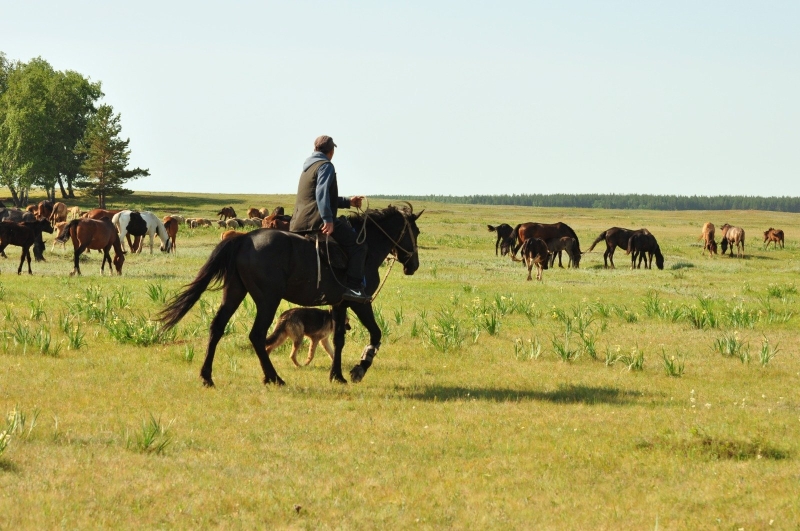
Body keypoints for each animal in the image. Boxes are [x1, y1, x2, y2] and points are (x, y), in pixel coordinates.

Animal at [158, 204, 424, 386]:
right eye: (416, 232)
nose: (414, 266)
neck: (366, 249)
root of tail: (244, 240)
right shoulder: (359, 301)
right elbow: (376, 333)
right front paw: (360, 367)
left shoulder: (339, 304)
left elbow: (338, 339)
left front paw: (337, 375)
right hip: (268, 300)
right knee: (257, 335)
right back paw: (273, 377)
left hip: (234, 292)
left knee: (217, 328)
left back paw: (207, 377)